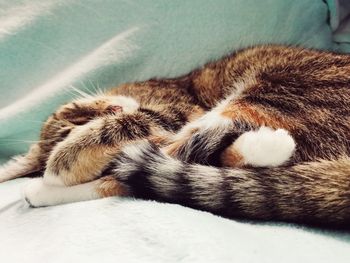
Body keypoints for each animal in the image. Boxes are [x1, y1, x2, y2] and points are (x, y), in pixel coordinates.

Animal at [0, 44, 350, 229]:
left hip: (279, 88)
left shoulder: (177, 108)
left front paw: (61, 162)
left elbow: (135, 123)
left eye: (80, 114)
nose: (114, 106)